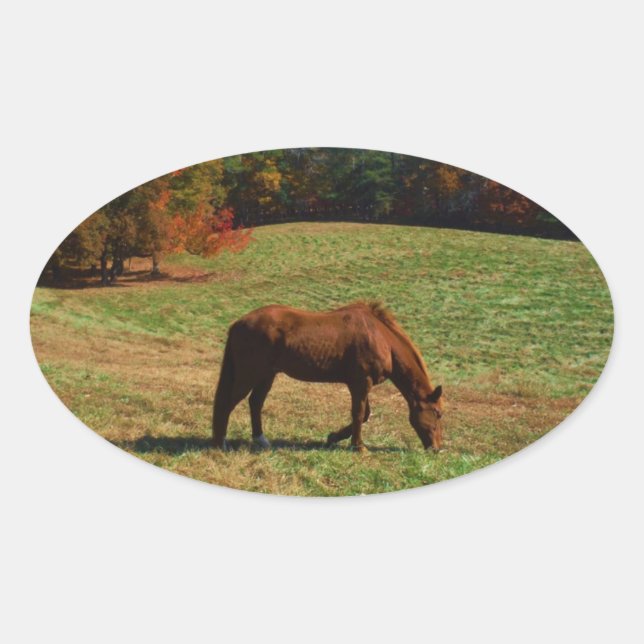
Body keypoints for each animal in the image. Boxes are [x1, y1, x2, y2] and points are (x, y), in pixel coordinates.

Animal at [212, 301, 444, 453]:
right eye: (438, 414)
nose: (437, 448)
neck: (380, 338)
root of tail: (238, 323)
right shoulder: (360, 383)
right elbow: (359, 414)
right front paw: (358, 447)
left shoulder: (361, 384)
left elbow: (365, 414)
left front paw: (333, 438)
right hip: (249, 374)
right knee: (227, 403)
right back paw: (220, 443)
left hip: (267, 375)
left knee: (255, 403)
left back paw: (261, 440)